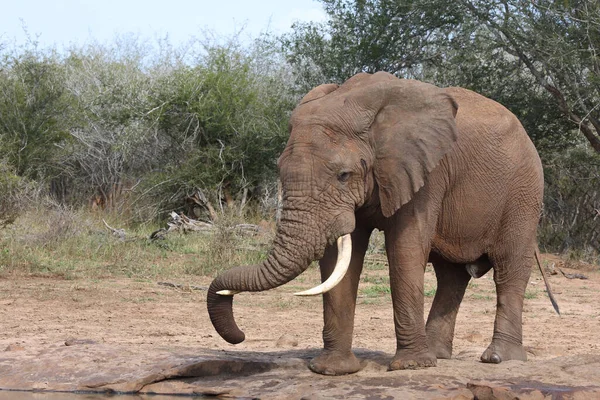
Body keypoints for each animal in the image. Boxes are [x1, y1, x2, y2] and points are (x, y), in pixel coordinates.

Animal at [207, 71, 556, 376]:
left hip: (524, 191)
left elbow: (404, 249)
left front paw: (410, 367)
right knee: (451, 276)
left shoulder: (425, 173)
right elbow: (339, 259)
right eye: (280, 170)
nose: (239, 336)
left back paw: (498, 358)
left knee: (509, 268)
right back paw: (437, 354)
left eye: (343, 175)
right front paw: (332, 371)